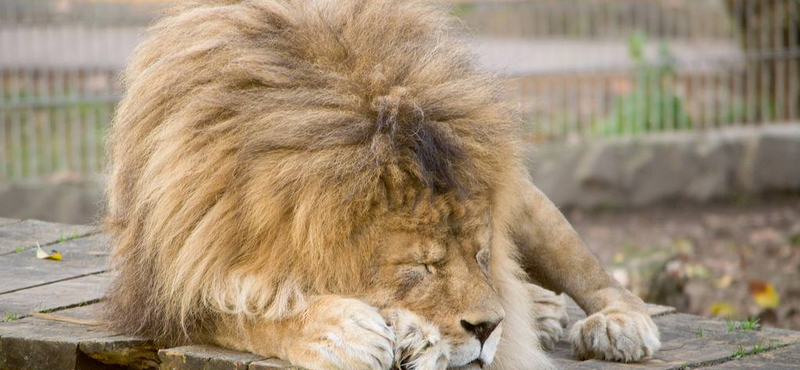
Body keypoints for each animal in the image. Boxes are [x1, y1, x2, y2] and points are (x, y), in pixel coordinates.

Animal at [103, 0, 660, 370]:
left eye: (480, 255)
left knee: (595, 276)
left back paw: (615, 324)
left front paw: (416, 335)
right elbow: (247, 312)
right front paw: (344, 330)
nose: (488, 329)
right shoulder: (169, 290)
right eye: (422, 267)